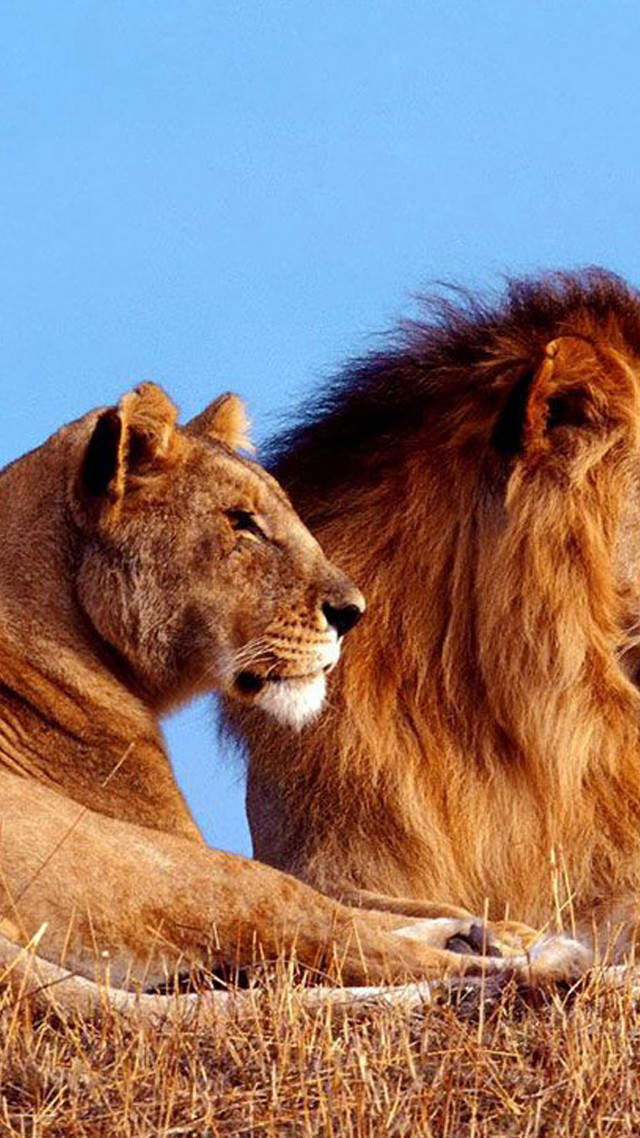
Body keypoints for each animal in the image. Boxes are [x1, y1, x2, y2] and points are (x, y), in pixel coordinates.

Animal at [0, 379, 572, 1020]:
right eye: (242, 522)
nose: (354, 613)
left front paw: (488, 927)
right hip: (197, 876)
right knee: (358, 946)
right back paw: (553, 964)